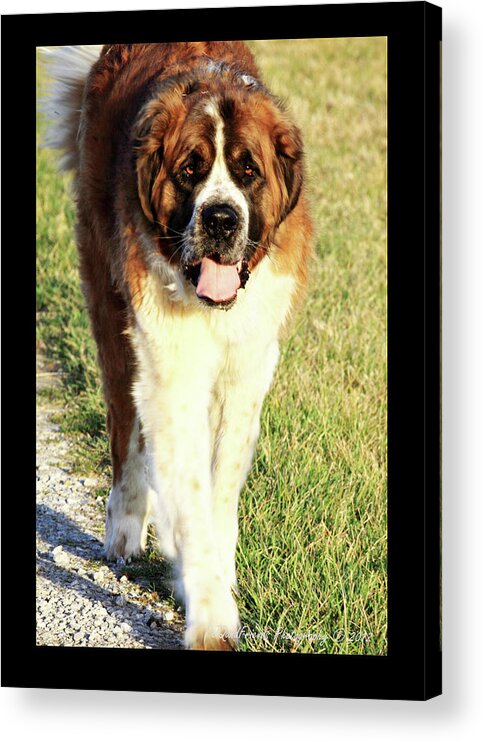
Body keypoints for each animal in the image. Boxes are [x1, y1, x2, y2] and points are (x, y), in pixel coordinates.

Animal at [41, 42, 314, 652]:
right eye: (190, 170)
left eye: (247, 171)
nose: (221, 219)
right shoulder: (173, 371)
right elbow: (187, 487)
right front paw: (210, 615)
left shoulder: (246, 369)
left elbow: (220, 486)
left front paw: (217, 575)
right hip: (109, 307)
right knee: (125, 428)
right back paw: (125, 524)